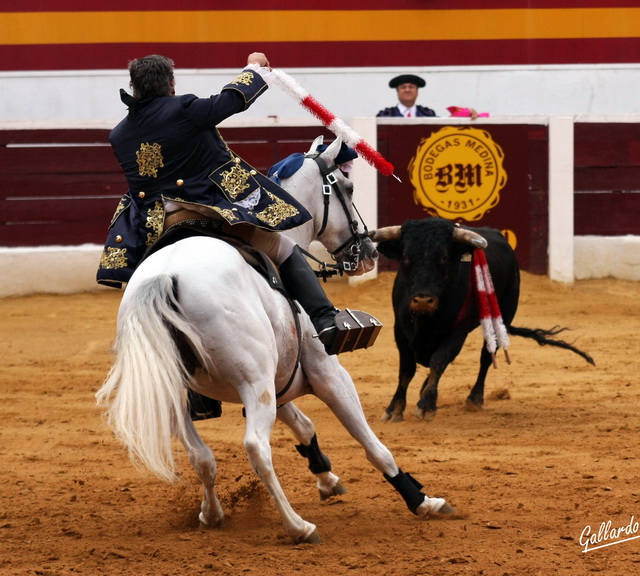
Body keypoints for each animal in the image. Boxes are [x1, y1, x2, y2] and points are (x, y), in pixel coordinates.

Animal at [96, 137, 456, 544]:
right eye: (347, 188)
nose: (369, 252)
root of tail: (166, 276)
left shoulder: (280, 380)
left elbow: (305, 426)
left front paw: (327, 477)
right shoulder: (326, 374)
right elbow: (371, 444)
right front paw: (422, 501)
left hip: (179, 391)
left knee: (202, 457)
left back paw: (212, 514)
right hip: (255, 384)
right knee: (257, 448)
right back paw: (298, 526)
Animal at [370, 218, 596, 420]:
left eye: (444, 257)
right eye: (405, 257)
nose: (423, 300)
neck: (426, 319)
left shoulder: (458, 331)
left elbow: (439, 361)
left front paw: (426, 406)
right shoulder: (400, 330)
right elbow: (407, 371)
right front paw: (394, 409)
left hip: (503, 315)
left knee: (486, 357)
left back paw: (474, 399)